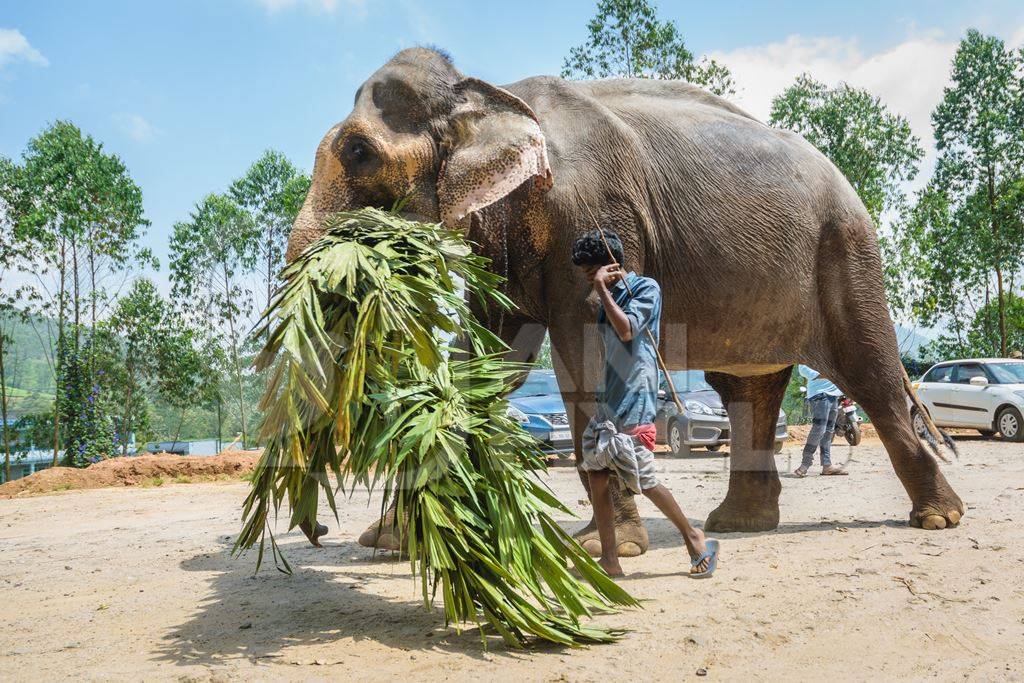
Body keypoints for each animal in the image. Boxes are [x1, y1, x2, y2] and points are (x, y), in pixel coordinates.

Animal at [284, 46, 962, 557]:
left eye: (358, 153)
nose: (317, 532)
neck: (487, 90)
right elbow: (489, 361)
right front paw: (392, 542)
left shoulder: (589, 213)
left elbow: (584, 354)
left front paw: (602, 548)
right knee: (747, 389)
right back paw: (737, 525)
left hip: (846, 253)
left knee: (871, 372)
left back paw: (939, 519)